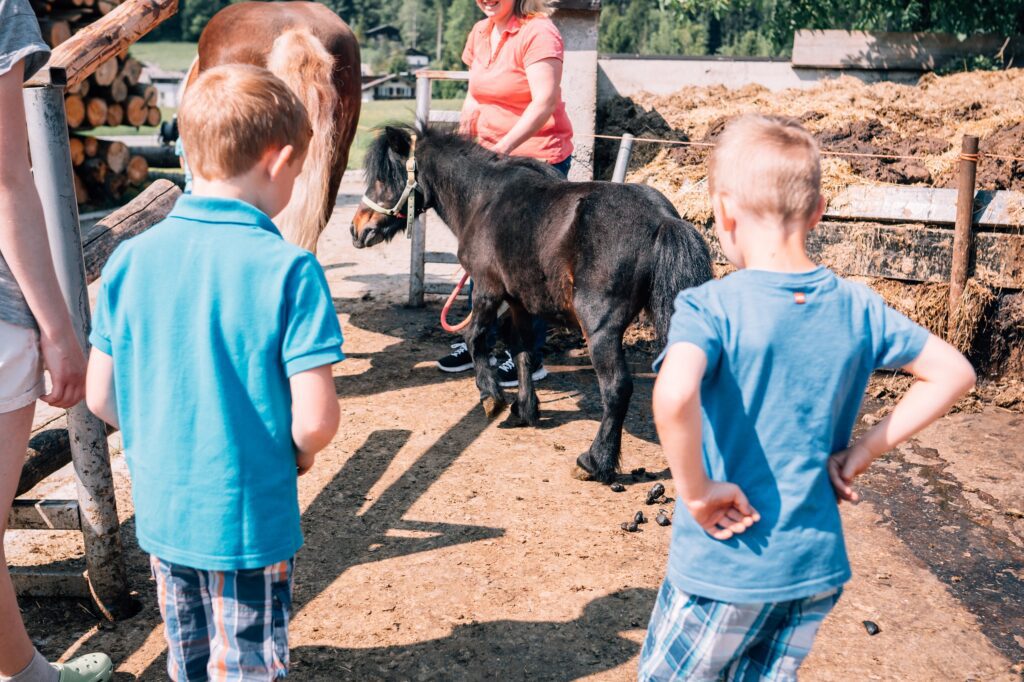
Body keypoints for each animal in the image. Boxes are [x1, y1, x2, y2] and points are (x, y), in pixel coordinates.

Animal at [352, 124, 712, 481]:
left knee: (616, 388)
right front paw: (524, 410)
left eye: (384, 178)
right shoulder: (519, 303)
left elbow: (475, 338)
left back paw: (596, 462)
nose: (357, 230)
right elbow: (522, 352)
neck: (483, 199)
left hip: (600, 328)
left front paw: (491, 397)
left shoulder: (487, 290)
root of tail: (663, 219)